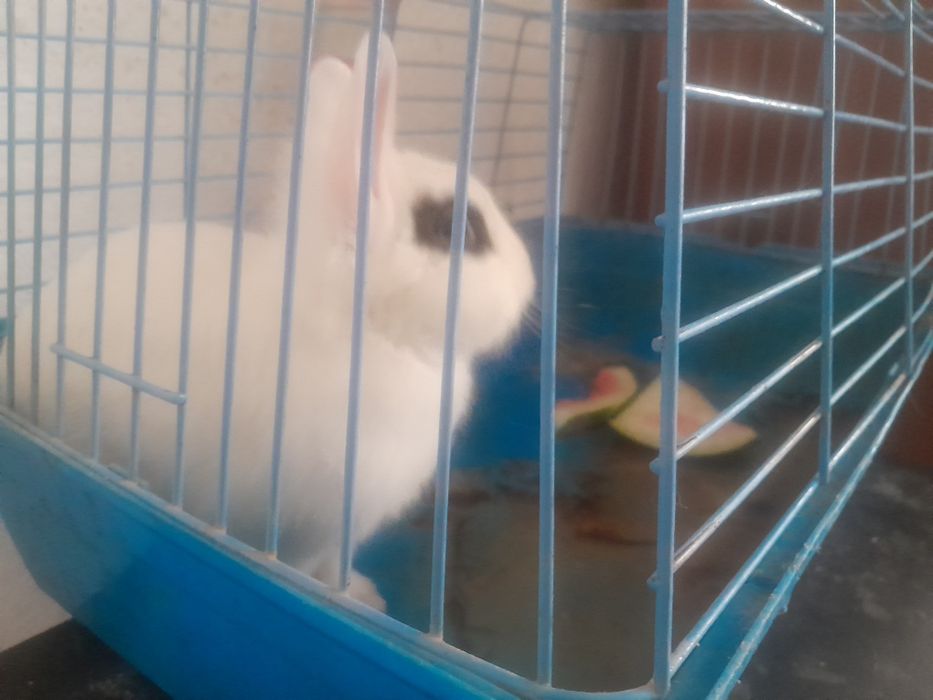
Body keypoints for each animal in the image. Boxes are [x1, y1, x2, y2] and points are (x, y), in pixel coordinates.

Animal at [5, 34, 535, 611]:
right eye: (457, 229)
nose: (529, 281)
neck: (355, 321)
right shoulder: (306, 521)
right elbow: (306, 570)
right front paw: (351, 601)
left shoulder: (341, 526)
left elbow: (336, 564)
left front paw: (364, 596)